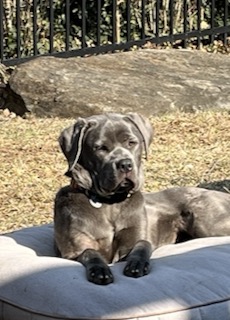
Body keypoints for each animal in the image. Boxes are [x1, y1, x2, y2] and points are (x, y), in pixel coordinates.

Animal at [54, 112, 230, 284]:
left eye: (132, 142)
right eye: (100, 148)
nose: (125, 164)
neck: (110, 204)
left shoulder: (134, 237)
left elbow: (142, 245)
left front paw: (137, 265)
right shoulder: (73, 249)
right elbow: (89, 252)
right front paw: (100, 270)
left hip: (205, 221)